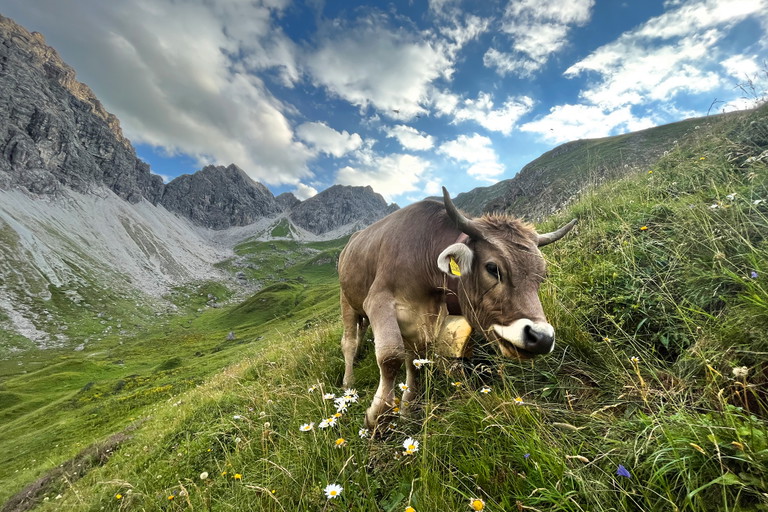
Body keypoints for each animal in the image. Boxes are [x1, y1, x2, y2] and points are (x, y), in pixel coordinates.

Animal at [338, 187, 576, 428]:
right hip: (347, 300)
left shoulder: (420, 318)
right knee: (349, 341)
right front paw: (377, 416)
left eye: (542, 275)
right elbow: (390, 356)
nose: (542, 338)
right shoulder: (378, 300)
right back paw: (348, 381)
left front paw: (406, 410)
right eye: (492, 268)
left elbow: (414, 361)